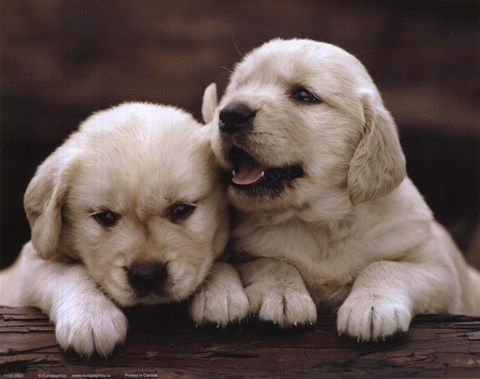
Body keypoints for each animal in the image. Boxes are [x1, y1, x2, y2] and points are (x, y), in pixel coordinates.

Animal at [0, 102, 248, 358]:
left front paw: (221, 292)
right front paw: (91, 315)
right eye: (105, 216)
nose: (147, 276)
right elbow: (67, 271)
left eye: (181, 210)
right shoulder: (26, 267)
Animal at [204, 37, 480, 342]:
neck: (320, 223)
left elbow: (386, 266)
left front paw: (371, 306)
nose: (230, 114)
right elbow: (269, 262)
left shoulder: (438, 270)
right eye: (236, 89)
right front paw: (282, 295)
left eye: (304, 95)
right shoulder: (247, 253)